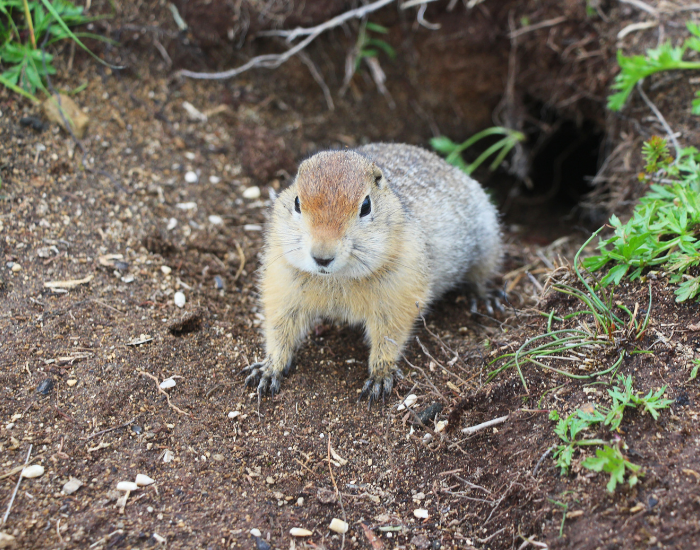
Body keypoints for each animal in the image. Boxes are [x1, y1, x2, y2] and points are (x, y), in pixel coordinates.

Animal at [243, 143, 503, 404]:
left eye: (366, 206)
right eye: (297, 202)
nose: (322, 256)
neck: (337, 278)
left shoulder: (399, 291)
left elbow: (390, 334)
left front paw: (380, 375)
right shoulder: (282, 280)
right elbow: (279, 327)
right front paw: (268, 368)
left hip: (487, 237)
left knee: (482, 275)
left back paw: (485, 298)